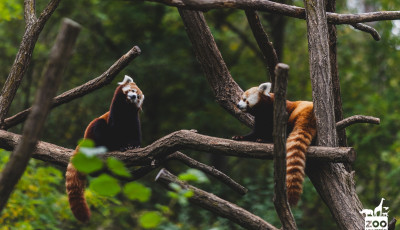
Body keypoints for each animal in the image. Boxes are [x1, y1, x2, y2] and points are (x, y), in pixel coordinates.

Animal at [65, 75, 145, 221]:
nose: (133, 96)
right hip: (94, 132)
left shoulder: (134, 119)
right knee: (99, 123)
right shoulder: (115, 114)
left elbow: (135, 133)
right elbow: (114, 131)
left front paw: (134, 145)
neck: (126, 109)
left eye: (137, 96)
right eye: (132, 90)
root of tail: (85, 139)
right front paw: (121, 146)